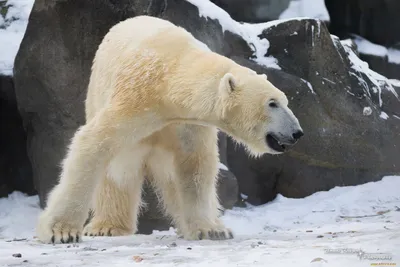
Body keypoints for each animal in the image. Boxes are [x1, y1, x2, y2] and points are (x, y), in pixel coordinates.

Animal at [36, 15, 304, 245]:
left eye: (284, 101)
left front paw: (211, 229)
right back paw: (109, 226)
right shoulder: (134, 98)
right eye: (272, 103)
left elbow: (194, 167)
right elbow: (94, 145)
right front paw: (61, 231)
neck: (170, 75)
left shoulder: (188, 123)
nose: (297, 132)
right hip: (96, 93)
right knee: (120, 168)